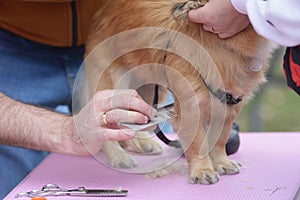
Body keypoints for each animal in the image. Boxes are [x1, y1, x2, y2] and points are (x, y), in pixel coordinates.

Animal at [83, 0, 276, 184]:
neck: (221, 44)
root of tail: (103, 11)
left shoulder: (228, 108)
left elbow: (220, 138)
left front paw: (222, 163)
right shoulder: (191, 108)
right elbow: (198, 144)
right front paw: (202, 171)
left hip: (150, 92)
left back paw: (144, 143)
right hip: (116, 85)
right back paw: (119, 156)